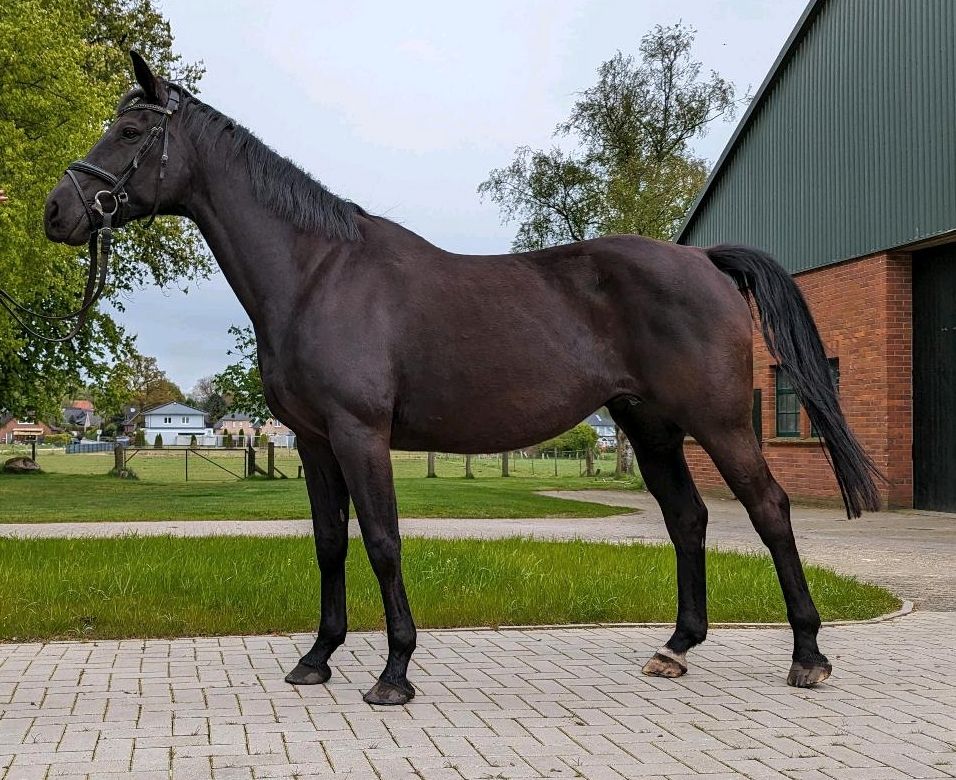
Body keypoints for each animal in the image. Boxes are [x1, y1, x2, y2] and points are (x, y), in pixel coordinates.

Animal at [46, 51, 880, 704]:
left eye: (129, 132)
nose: (58, 211)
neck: (318, 273)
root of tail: (702, 260)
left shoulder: (359, 434)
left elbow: (382, 541)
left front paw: (394, 673)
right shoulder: (314, 441)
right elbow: (329, 542)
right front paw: (316, 658)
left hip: (720, 422)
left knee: (769, 510)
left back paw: (808, 656)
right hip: (650, 428)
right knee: (688, 518)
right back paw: (675, 648)